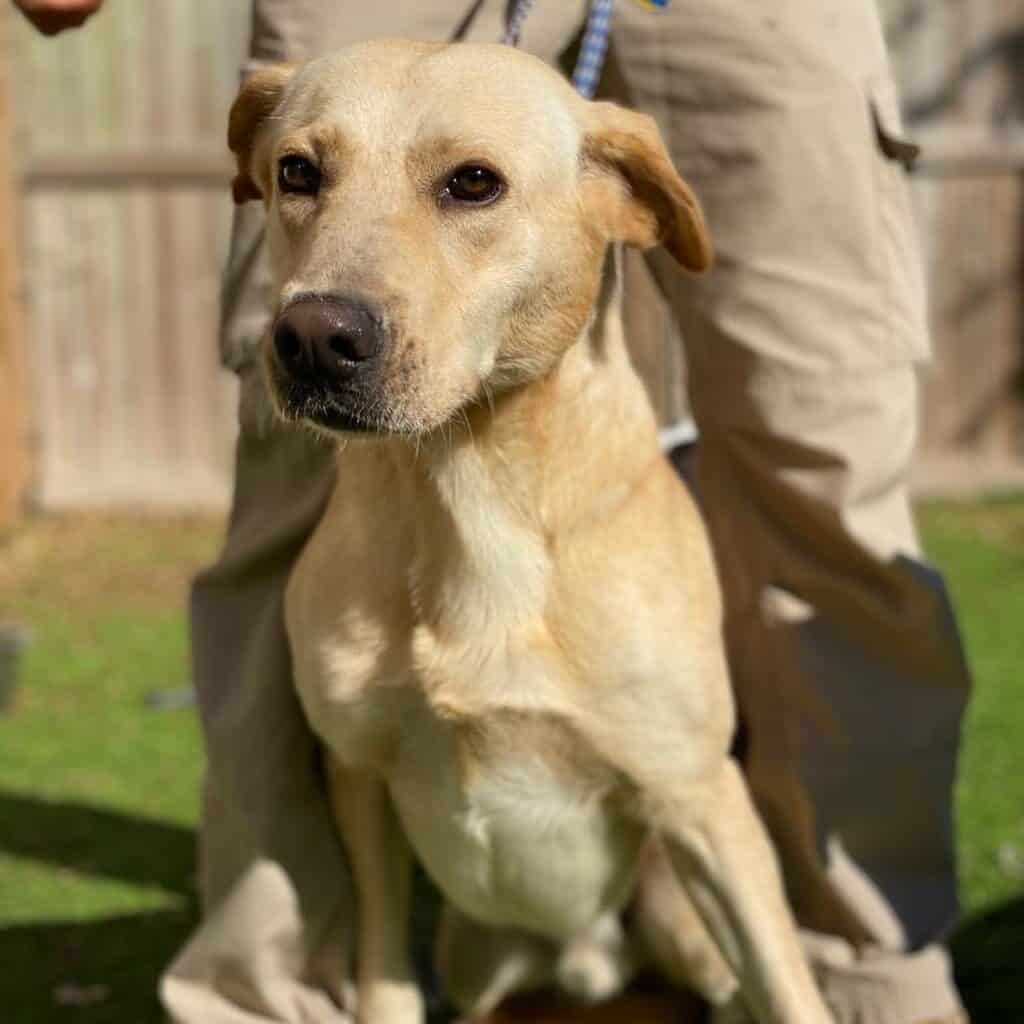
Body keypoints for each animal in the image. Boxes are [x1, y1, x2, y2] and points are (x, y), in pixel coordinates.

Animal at [230, 39, 831, 1024]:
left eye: (474, 183)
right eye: (297, 172)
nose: (313, 338)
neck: (469, 502)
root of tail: (589, 964)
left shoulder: (702, 801)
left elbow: (787, 989)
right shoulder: (360, 780)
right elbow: (382, 972)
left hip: (682, 920)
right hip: (477, 962)